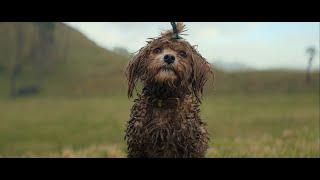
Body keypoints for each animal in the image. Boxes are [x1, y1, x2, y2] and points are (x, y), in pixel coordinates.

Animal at [124, 22, 212, 158]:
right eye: (157, 50)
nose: (169, 57)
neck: (164, 100)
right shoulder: (137, 145)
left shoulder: (190, 145)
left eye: (183, 53)